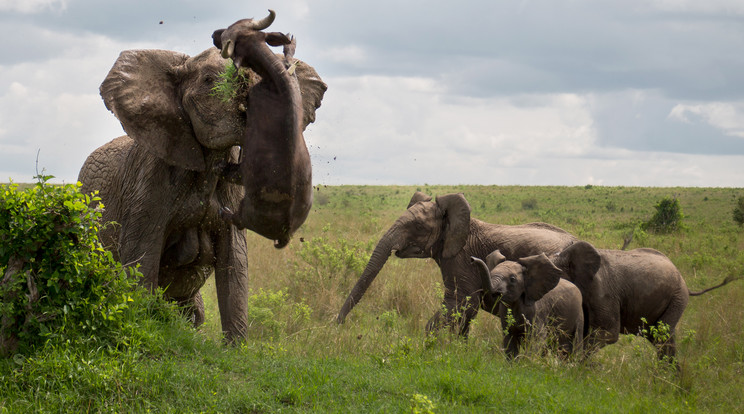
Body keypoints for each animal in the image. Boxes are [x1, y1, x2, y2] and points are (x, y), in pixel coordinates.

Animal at [211, 10, 312, 249]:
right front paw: (289, 46)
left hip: (245, 208)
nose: (214, 33)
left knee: (237, 218)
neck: (276, 80)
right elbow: (289, 57)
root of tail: (286, 233)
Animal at [552, 241, 740, 360]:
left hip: (677, 299)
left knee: (662, 339)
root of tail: (684, 283)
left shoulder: (602, 292)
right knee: (662, 339)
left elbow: (608, 333)